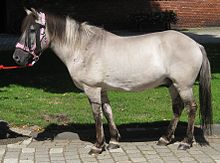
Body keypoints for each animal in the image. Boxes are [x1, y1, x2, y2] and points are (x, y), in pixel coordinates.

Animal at [12, 8, 212, 154]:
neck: (82, 48)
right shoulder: (102, 89)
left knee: (191, 108)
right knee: (177, 108)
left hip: (183, 85)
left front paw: (98, 146)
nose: (17, 58)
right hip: (171, 85)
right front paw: (114, 141)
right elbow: (108, 111)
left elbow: (97, 115)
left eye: (32, 30)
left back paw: (186, 142)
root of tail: (195, 44)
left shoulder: (92, 89)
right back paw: (165, 138)